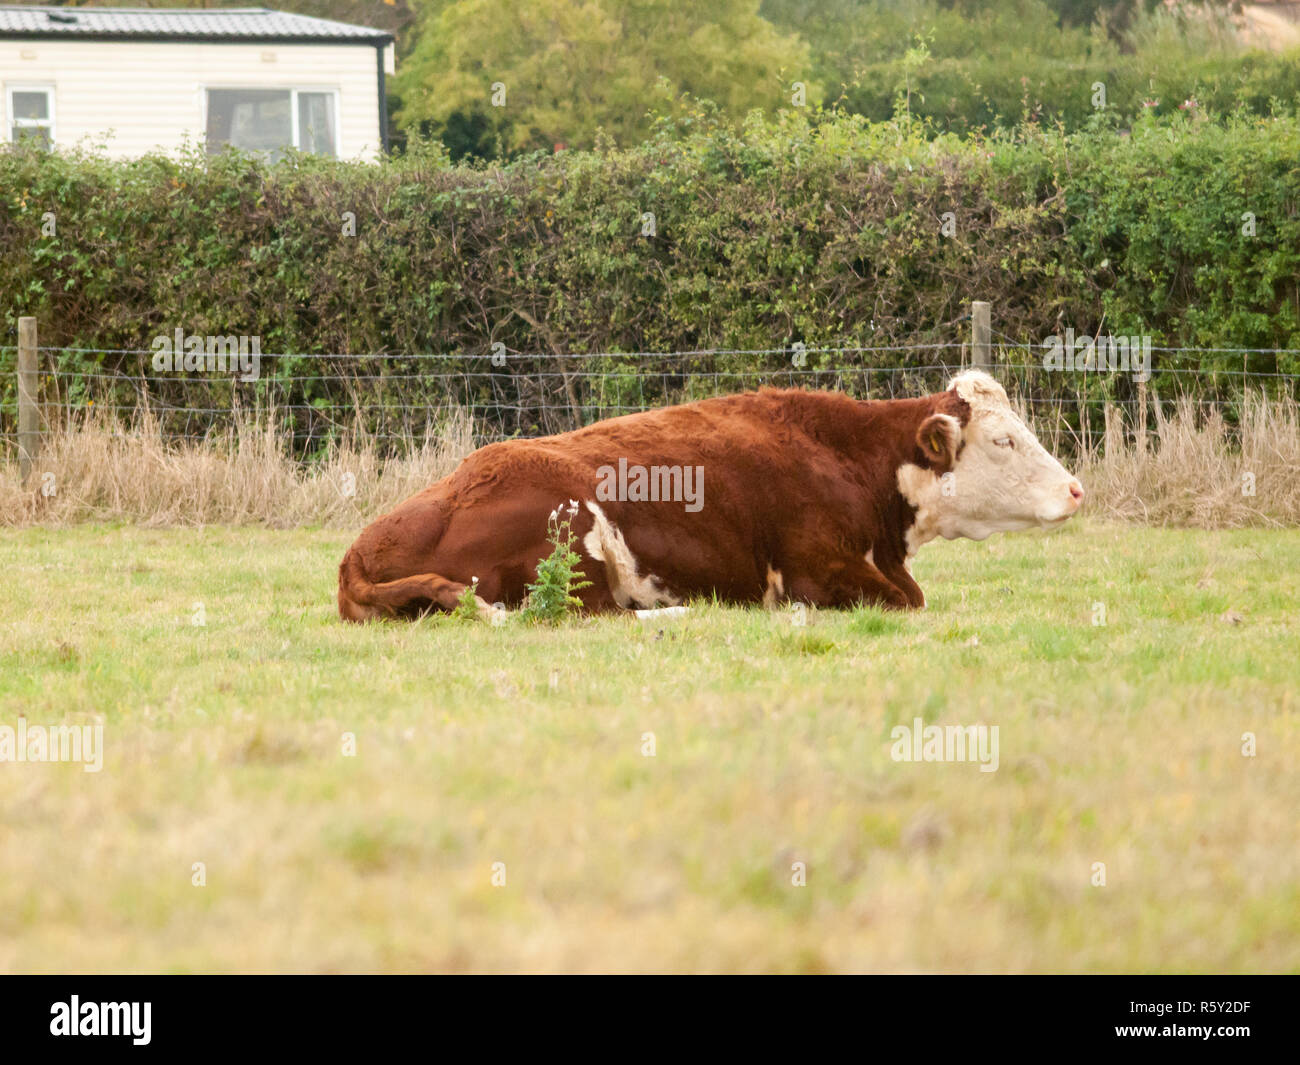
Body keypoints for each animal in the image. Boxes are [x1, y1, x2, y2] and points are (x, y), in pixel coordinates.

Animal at [337, 370, 1083, 621]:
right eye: (1003, 440)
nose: (1076, 488)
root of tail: (357, 553)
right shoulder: (817, 568)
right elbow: (907, 599)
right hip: (570, 535)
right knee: (584, 613)